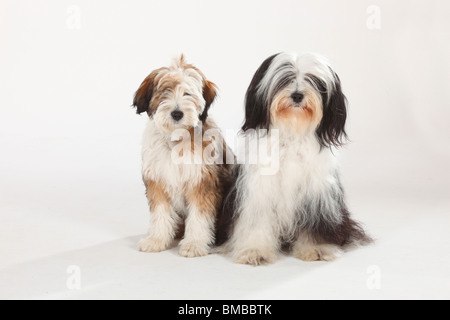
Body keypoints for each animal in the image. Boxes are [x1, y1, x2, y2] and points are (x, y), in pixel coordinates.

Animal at [133, 55, 232, 258]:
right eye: (165, 91)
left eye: (188, 93)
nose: (177, 113)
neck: (176, 139)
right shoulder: (157, 180)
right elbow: (160, 213)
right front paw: (156, 240)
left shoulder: (202, 182)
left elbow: (199, 216)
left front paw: (194, 243)